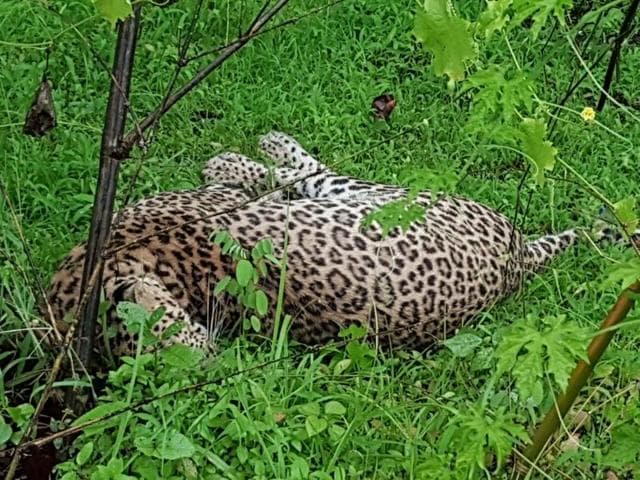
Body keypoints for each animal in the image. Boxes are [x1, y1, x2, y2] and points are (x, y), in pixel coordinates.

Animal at [45, 131, 630, 356]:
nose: (208, 357)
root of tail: (518, 260)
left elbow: (258, 184)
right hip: (390, 198)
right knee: (313, 174)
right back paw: (268, 148)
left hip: (387, 196)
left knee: (307, 173)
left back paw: (264, 146)